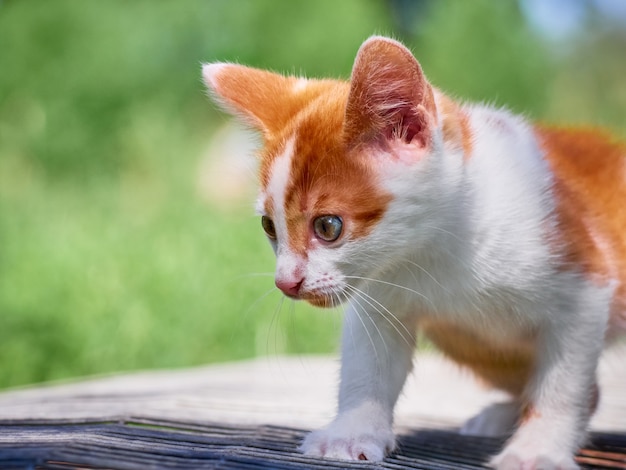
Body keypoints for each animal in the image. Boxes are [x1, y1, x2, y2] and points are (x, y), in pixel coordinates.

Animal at [202, 36, 620, 470]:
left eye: (328, 226)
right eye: (269, 226)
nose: (286, 282)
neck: (437, 249)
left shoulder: (584, 284)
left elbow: (563, 382)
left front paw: (538, 450)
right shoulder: (380, 294)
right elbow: (368, 364)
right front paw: (352, 432)